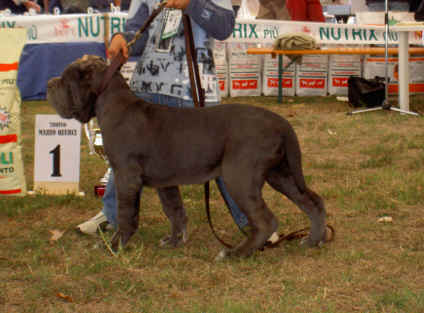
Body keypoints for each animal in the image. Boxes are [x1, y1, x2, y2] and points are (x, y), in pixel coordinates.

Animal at [47, 54, 328, 258]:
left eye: (65, 80)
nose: (49, 84)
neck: (114, 105)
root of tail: (281, 122)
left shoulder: (127, 176)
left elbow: (127, 214)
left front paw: (115, 246)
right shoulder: (165, 182)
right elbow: (175, 211)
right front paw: (173, 241)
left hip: (240, 175)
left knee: (266, 220)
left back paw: (236, 253)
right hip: (281, 173)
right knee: (312, 201)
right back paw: (313, 240)